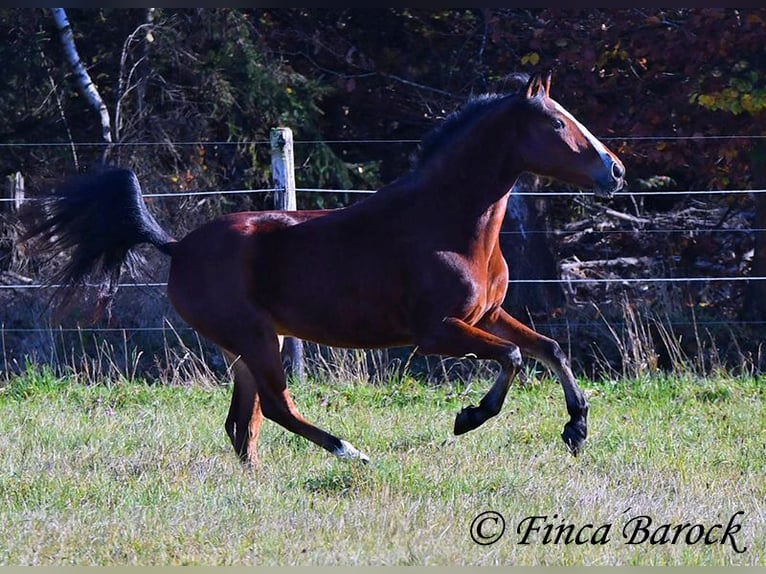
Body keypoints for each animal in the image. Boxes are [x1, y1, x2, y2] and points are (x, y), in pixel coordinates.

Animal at [24, 73, 628, 468]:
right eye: (557, 122)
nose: (616, 170)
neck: (447, 223)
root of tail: (177, 246)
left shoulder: (488, 314)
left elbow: (549, 348)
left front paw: (576, 429)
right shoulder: (438, 334)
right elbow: (514, 357)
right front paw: (470, 417)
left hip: (247, 346)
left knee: (243, 423)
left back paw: (259, 480)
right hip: (255, 339)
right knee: (274, 408)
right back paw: (351, 452)